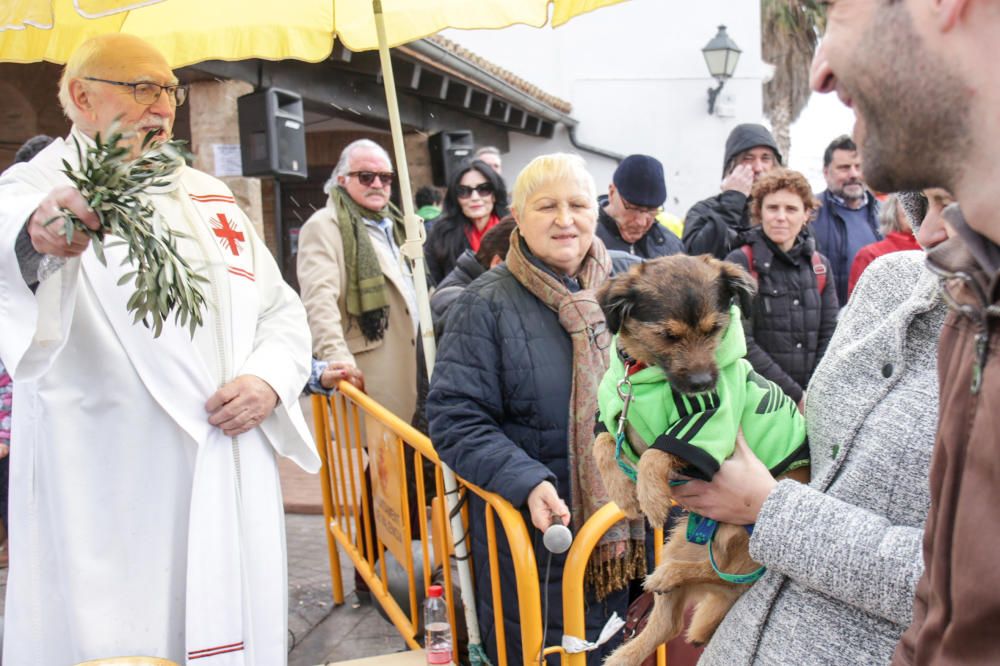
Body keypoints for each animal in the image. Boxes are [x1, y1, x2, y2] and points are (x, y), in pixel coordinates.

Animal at [588, 252, 808, 660]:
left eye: (714, 329)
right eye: (668, 335)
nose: (705, 384)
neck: (645, 376)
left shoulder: (705, 433)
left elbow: (657, 452)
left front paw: (651, 498)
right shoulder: (616, 415)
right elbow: (603, 444)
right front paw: (624, 494)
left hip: (746, 535)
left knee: (725, 576)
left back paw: (669, 574)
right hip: (681, 542)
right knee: (667, 623)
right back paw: (623, 655)